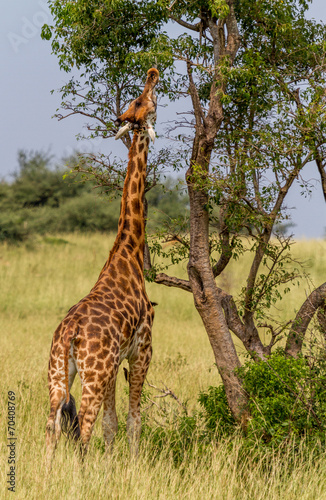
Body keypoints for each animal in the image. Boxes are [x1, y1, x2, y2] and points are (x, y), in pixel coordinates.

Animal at [45, 66, 159, 464]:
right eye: (143, 99)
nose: (153, 73)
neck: (128, 250)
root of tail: (69, 335)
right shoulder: (142, 349)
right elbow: (132, 419)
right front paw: (133, 468)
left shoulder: (115, 363)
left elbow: (112, 424)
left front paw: (111, 469)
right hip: (92, 373)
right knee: (83, 429)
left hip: (58, 371)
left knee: (52, 425)